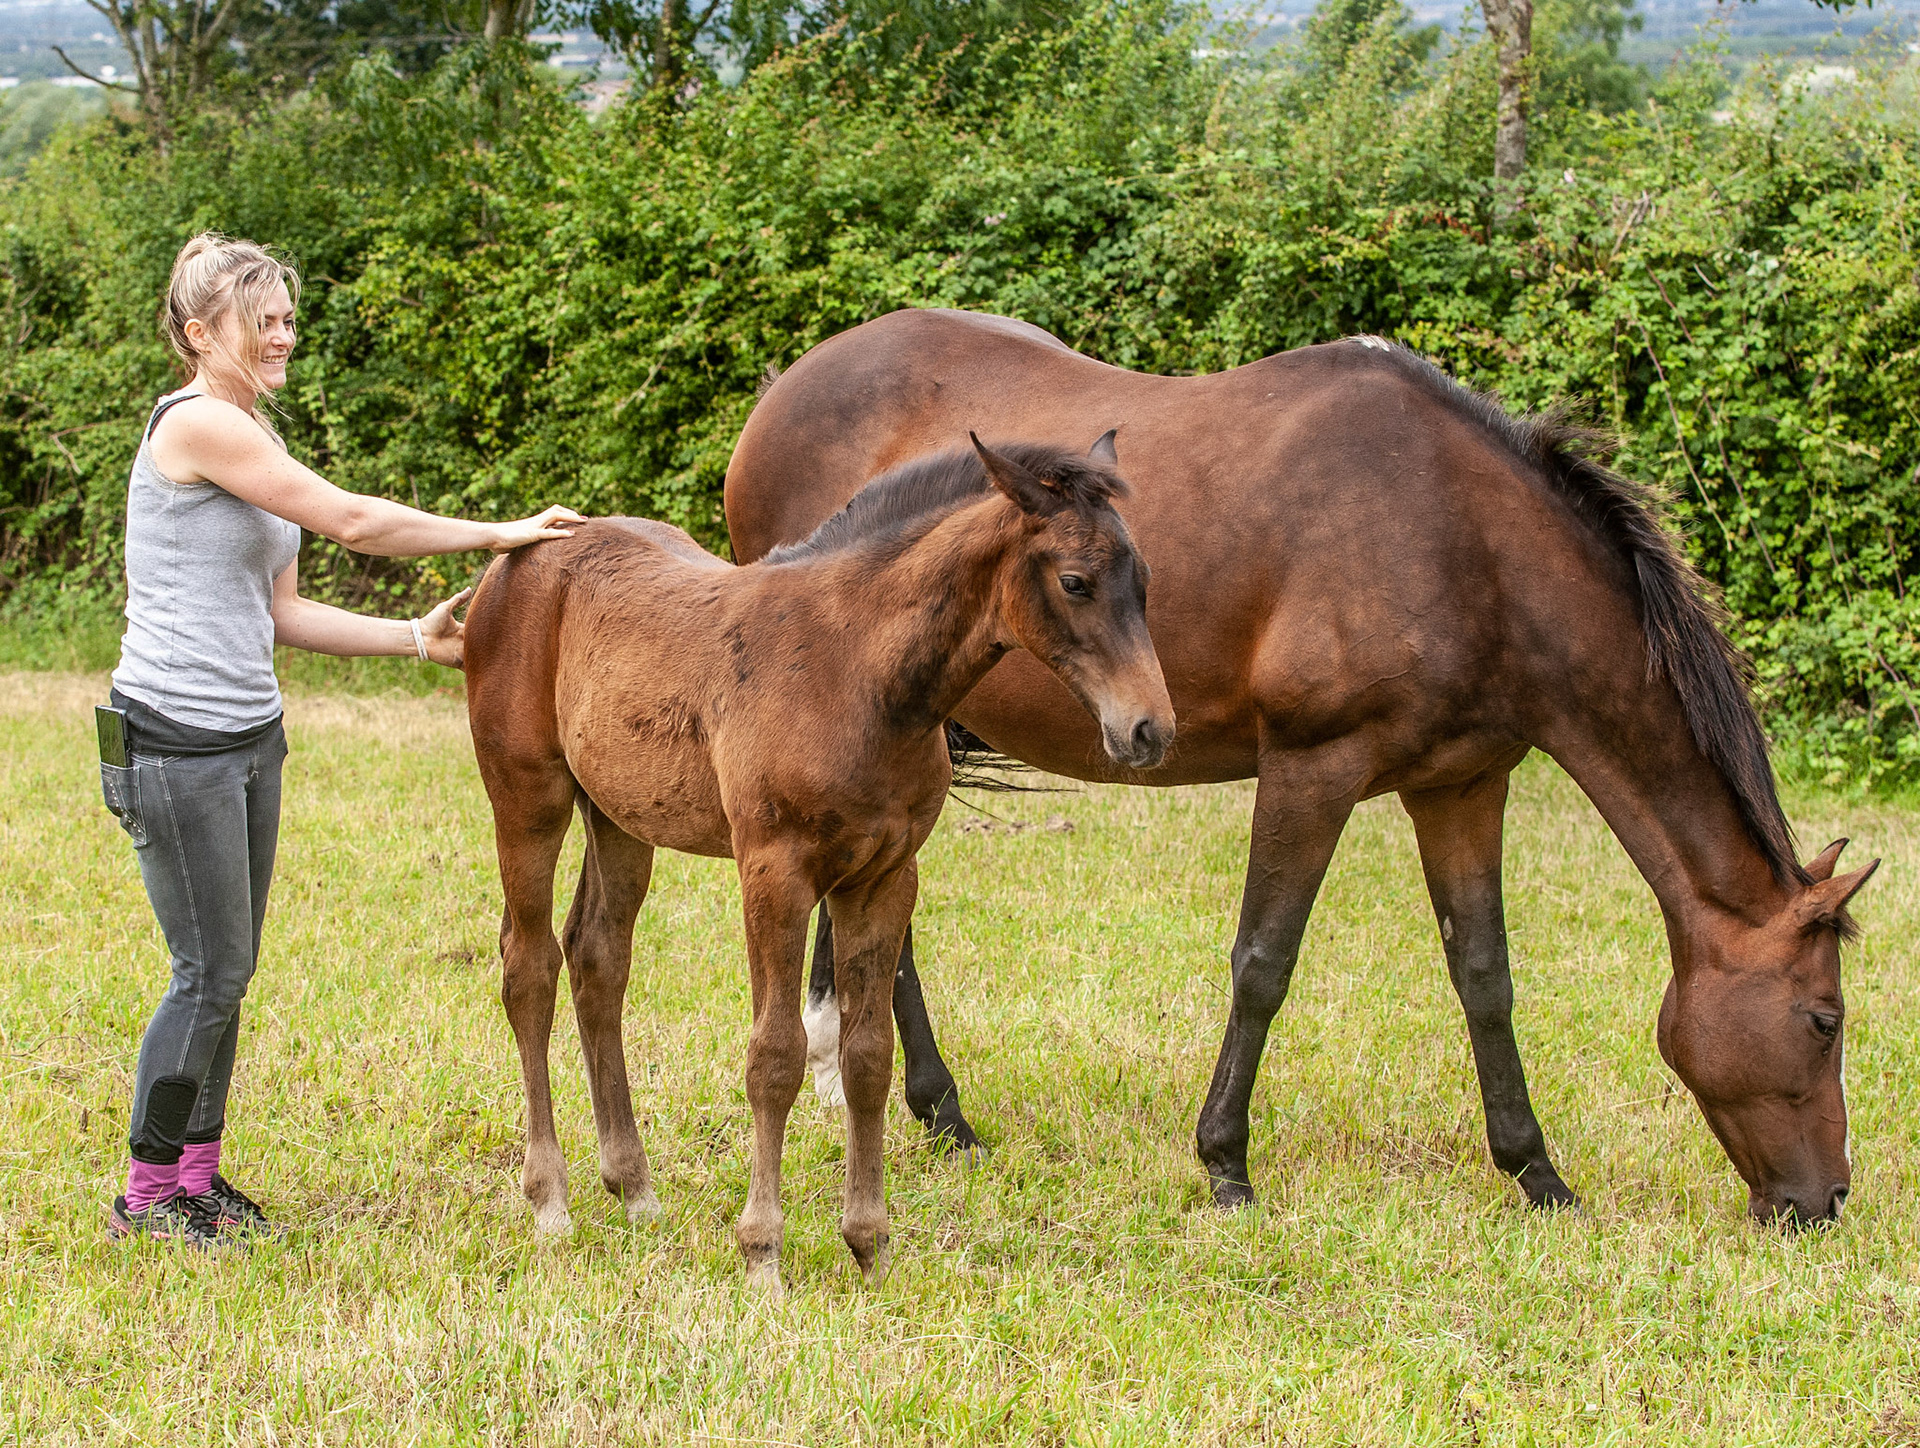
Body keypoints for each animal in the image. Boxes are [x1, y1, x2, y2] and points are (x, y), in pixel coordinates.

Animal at [463, 434, 1173, 1291]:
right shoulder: (775, 873)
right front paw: (762, 1253)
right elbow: (775, 1056)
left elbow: (868, 1057)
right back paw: (551, 1201)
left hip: (620, 814)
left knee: (598, 958)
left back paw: (634, 1189)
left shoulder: (885, 876)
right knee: (528, 967)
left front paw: (870, 1242)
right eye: (1075, 581)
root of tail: (514, 560)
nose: (1150, 729)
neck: (855, 670)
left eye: (1144, 580)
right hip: (528, 796)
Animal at [724, 308, 1878, 1227]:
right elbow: (1263, 963)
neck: (1465, 538)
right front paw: (1225, 1162)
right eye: (1825, 1019)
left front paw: (1535, 1171)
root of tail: (784, 392)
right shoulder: (1312, 770)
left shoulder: (1463, 784)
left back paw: (929, 1109)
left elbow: (1485, 975)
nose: (1824, 1200)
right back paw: (934, 1105)